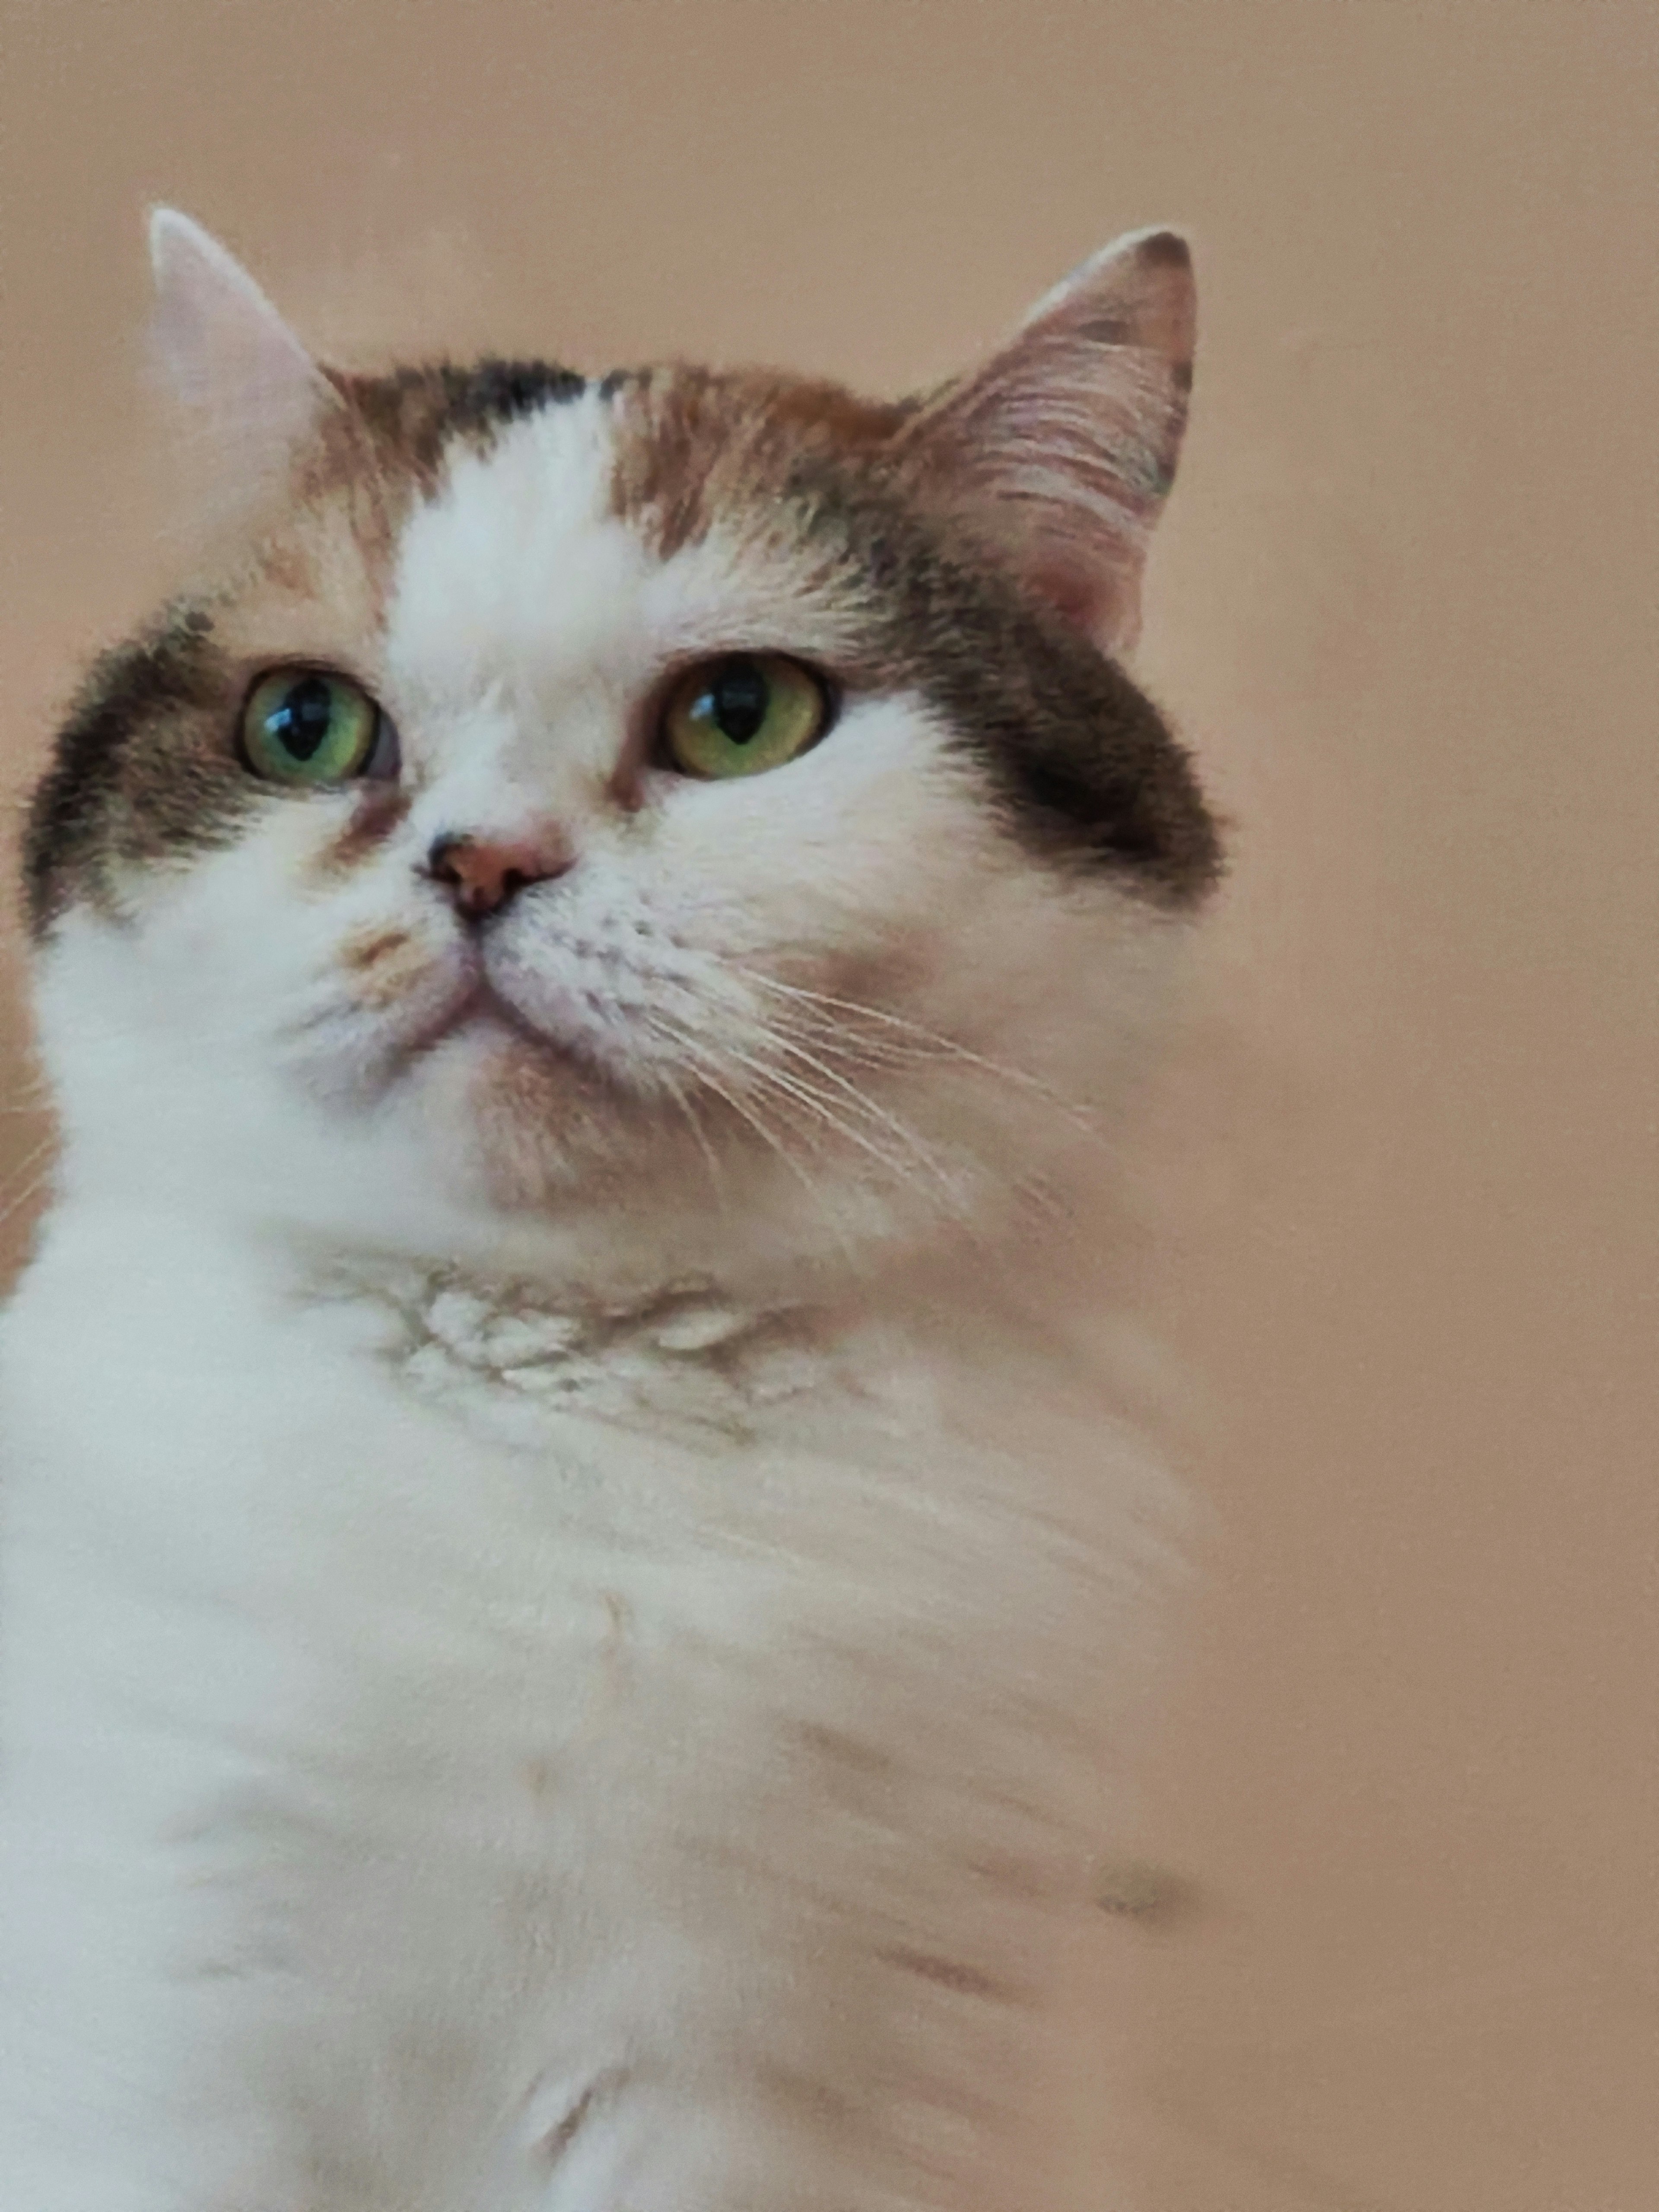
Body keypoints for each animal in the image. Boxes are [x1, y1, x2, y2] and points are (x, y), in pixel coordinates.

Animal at [0, 211, 1221, 2212]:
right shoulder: (145, 2014)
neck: (563, 1413)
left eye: (741, 717)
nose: (482, 864)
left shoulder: (765, 2102)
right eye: (303, 723)